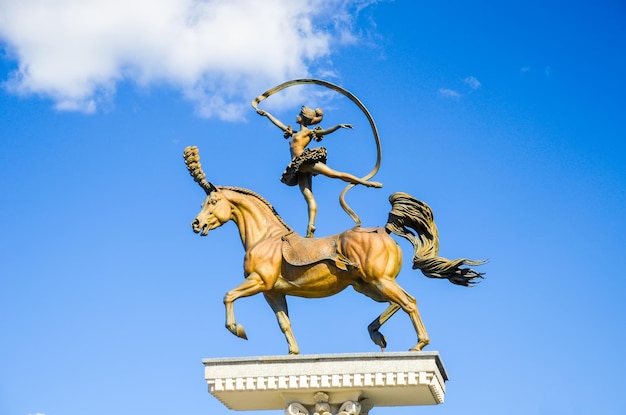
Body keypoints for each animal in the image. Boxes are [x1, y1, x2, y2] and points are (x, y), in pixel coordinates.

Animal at [183, 146, 486, 354]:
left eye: (212, 202)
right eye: (203, 203)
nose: (196, 223)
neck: (265, 237)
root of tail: (385, 230)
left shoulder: (260, 281)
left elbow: (228, 295)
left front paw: (239, 330)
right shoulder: (273, 291)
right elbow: (284, 323)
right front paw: (293, 354)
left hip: (379, 280)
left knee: (408, 302)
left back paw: (418, 345)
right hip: (367, 285)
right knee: (399, 301)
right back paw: (376, 333)